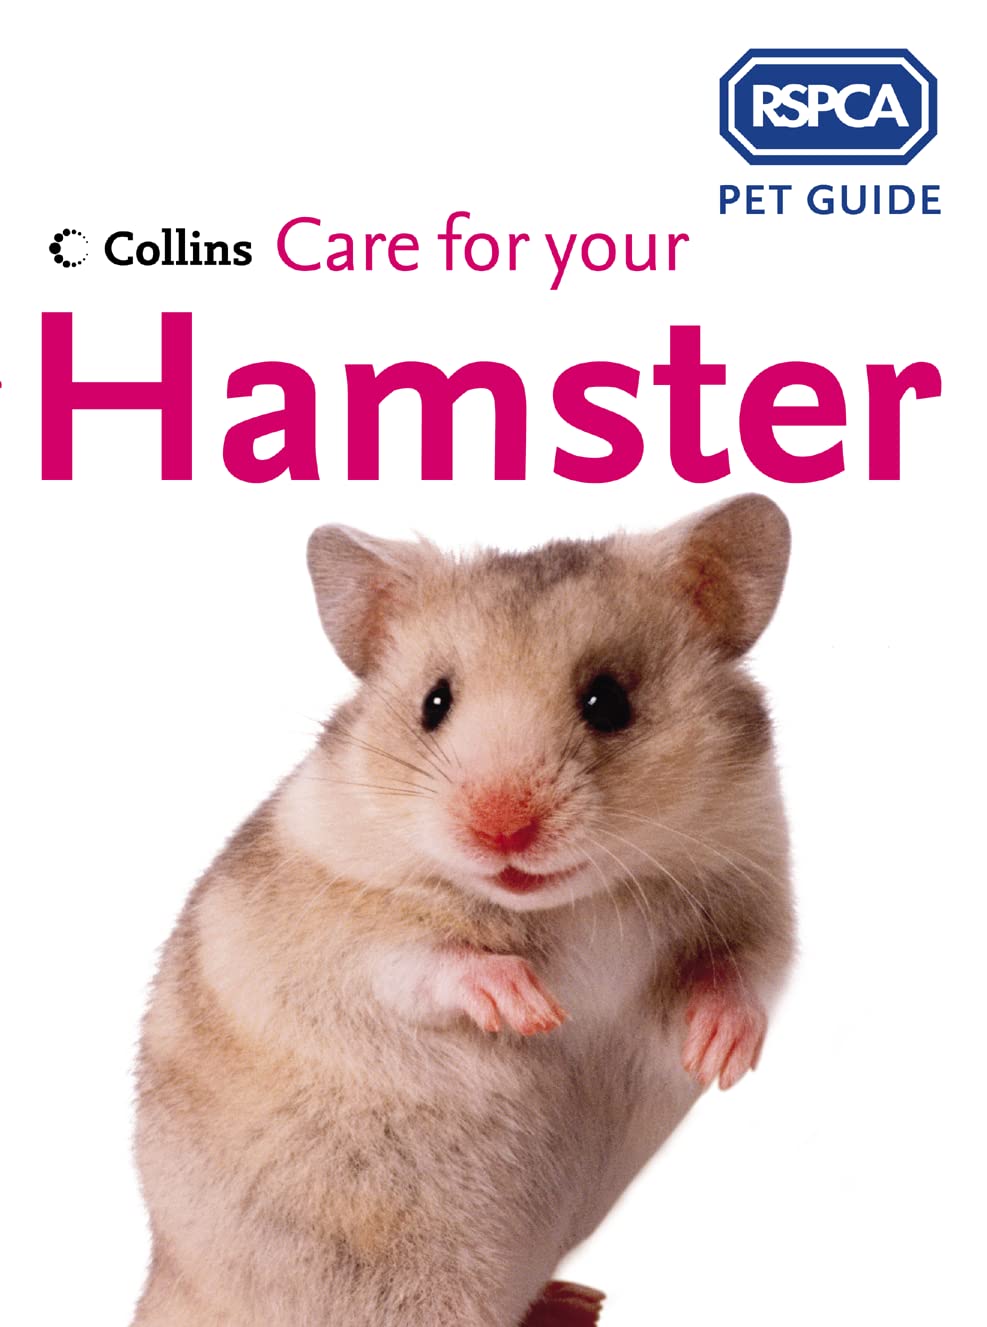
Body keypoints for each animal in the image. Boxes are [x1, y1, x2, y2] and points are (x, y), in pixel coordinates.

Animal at [132, 493, 795, 1327]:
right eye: (433, 703)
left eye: (608, 701)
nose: (500, 828)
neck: (576, 901)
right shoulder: (334, 926)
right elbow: (423, 960)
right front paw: (533, 1008)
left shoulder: (756, 887)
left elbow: (738, 970)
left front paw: (715, 1055)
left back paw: (576, 1300)